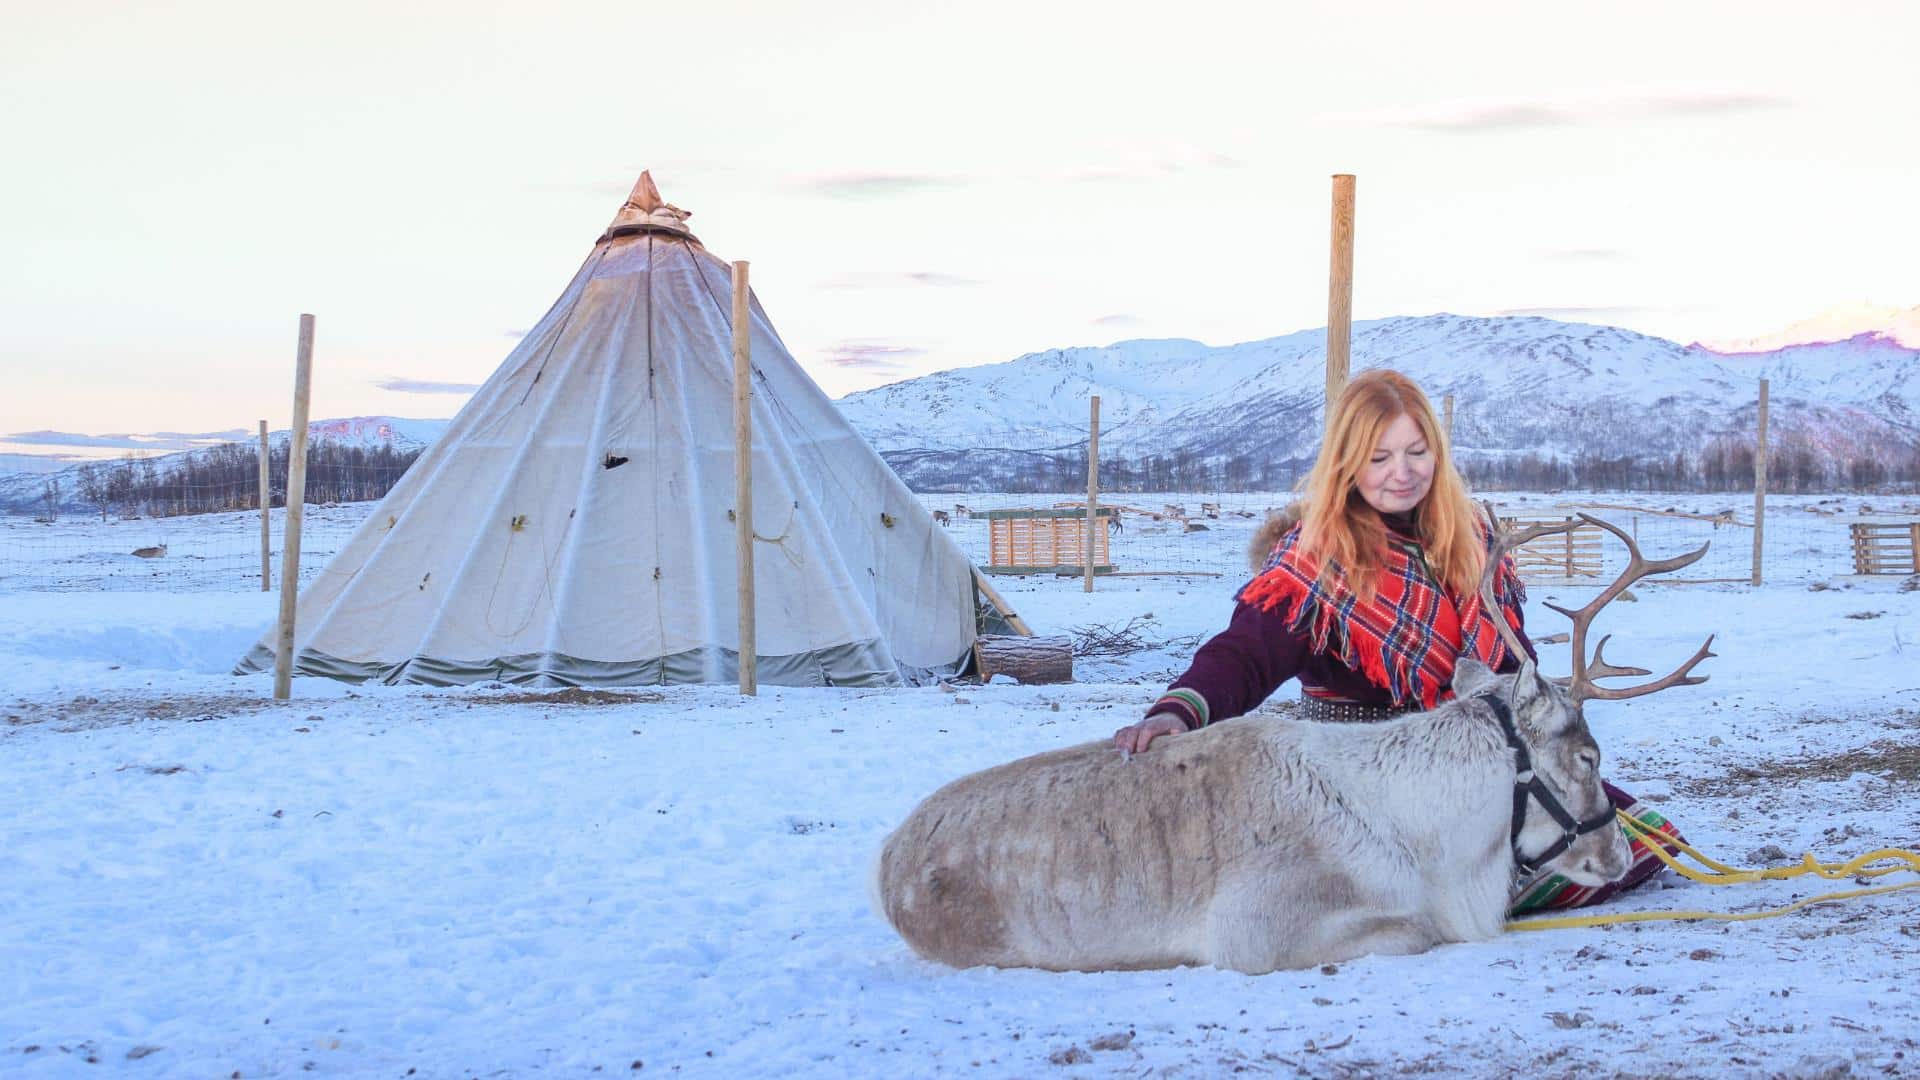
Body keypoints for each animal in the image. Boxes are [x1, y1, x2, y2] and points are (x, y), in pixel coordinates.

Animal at [874, 514, 1713, 974]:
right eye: (1587, 757)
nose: (1618, 855)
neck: (1424, 830)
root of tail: (887, 861)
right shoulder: (1257, 932)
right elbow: (1424, 929)